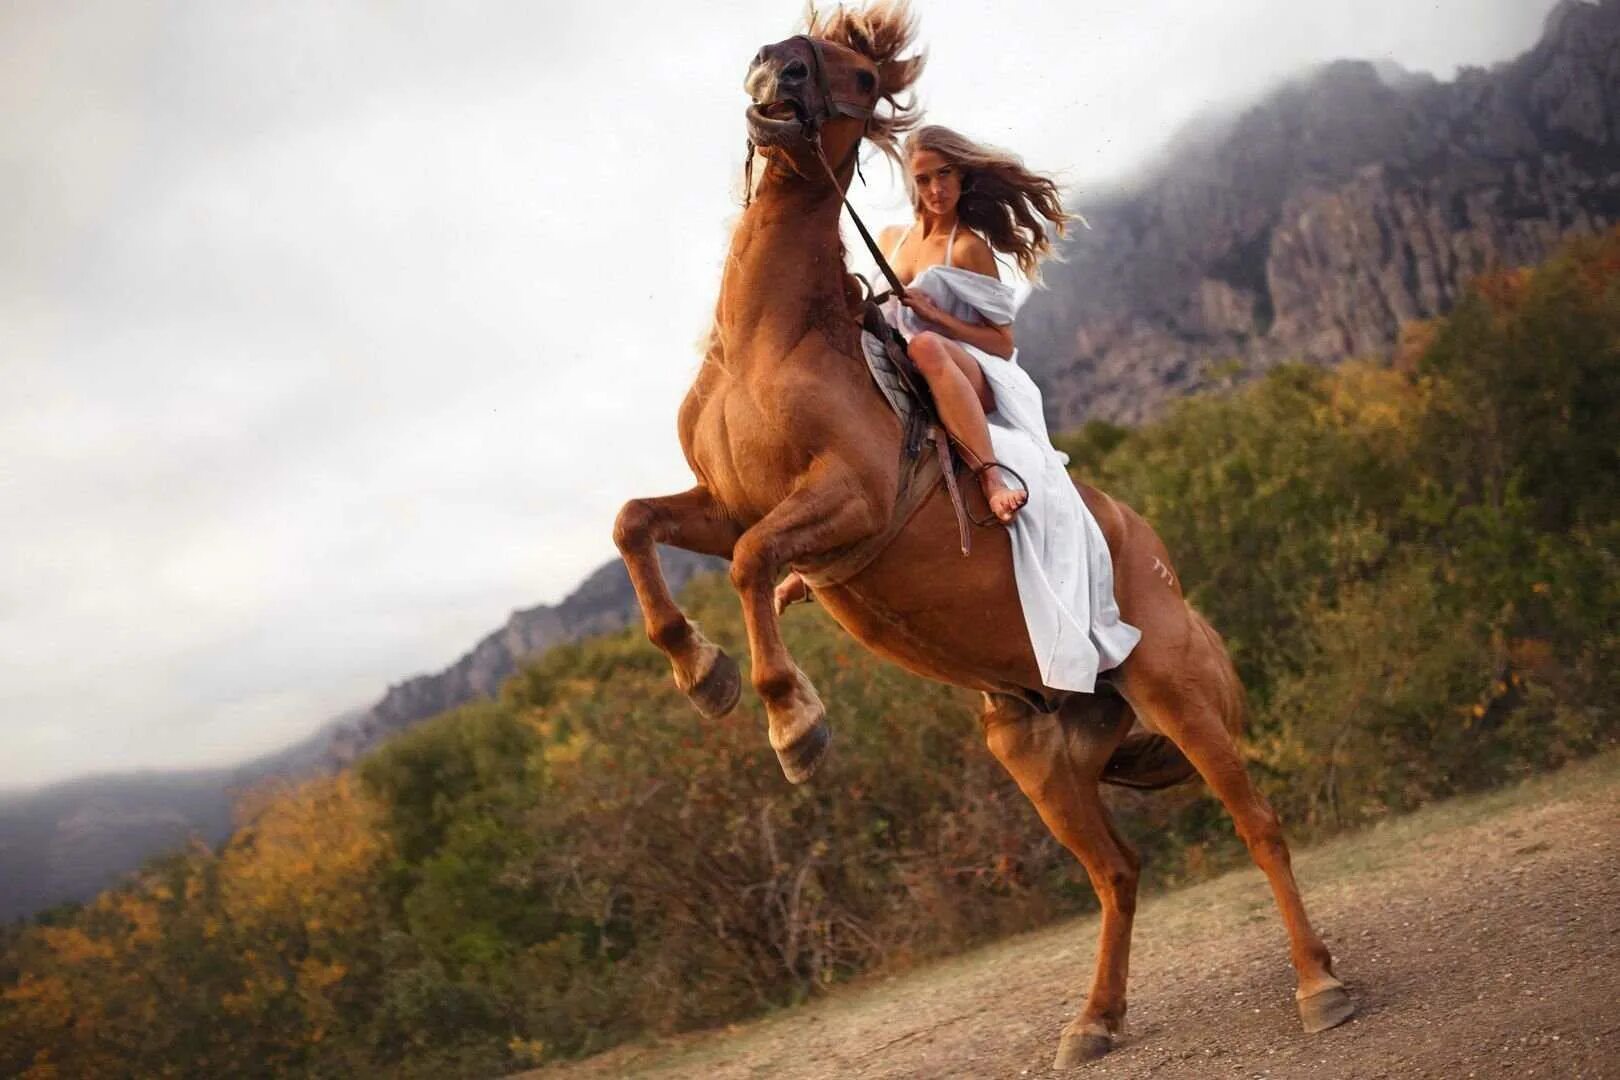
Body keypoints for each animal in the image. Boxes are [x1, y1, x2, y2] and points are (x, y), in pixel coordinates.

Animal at [612, 0, 1347, 1068]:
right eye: (799, 42)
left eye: (857, 75)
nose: (774, 69)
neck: (772, 344)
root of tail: (1167, 583)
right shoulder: (724, 502)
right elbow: (637, 524)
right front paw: (698, 670)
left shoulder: (847, 504)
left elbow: (751, 565)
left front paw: (793, 723)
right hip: (1041, 760)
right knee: (1118, 873)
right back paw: (1093, 1023)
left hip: (1181, 700)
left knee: (1260, 827)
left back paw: (1320, 983)